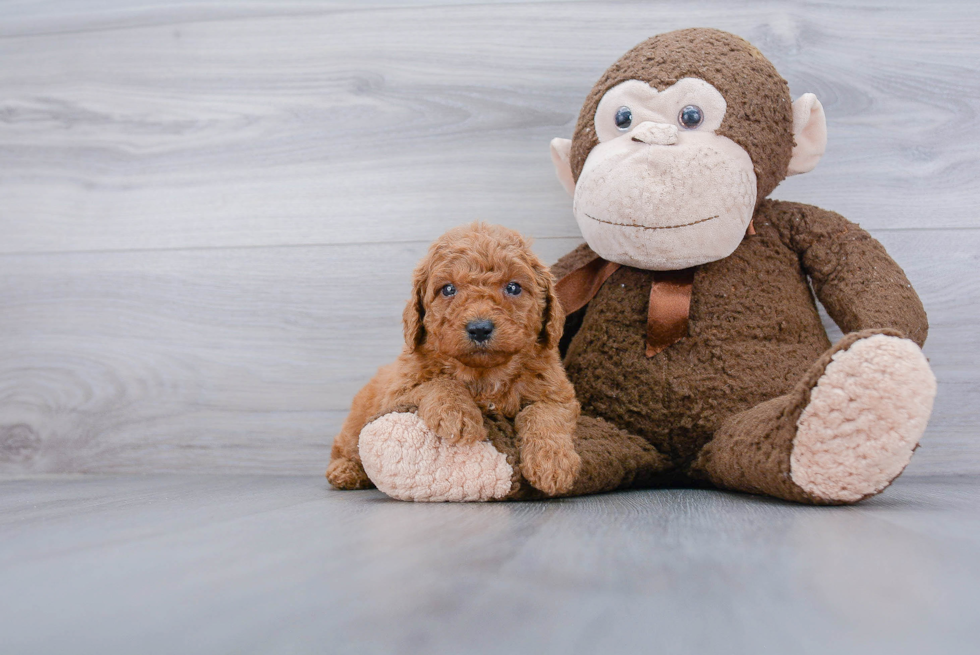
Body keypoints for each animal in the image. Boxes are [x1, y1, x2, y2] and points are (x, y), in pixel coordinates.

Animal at [326, 223, 580, 494]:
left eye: (513, 287)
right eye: (448, 289)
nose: (480, 328)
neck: (485, 375)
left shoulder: (557, 393)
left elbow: (545, 415)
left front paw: (553, 463)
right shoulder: (399, 392)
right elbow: (438, 382)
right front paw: (457, 414)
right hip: (356, 423)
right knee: (345, 447)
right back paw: (345, 470)